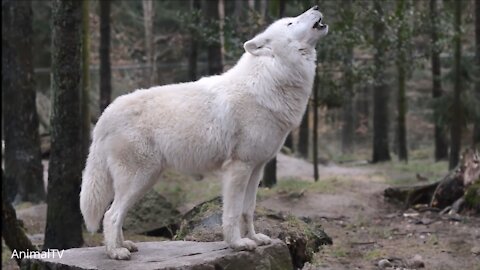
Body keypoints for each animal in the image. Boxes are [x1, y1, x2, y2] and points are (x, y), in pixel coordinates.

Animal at [80, 5, 328, 260]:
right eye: (290, 23)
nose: (316, 7)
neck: (269, 80)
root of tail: (105, 114)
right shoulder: (238, 168)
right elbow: (233, 212)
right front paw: (238, 244)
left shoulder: (256, 168)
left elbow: (248, 210)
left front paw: (255, 238)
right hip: (139, 179)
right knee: (110, 215)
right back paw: (115, 252)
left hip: (145, 180)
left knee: (116, 214)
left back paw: (124, 245)